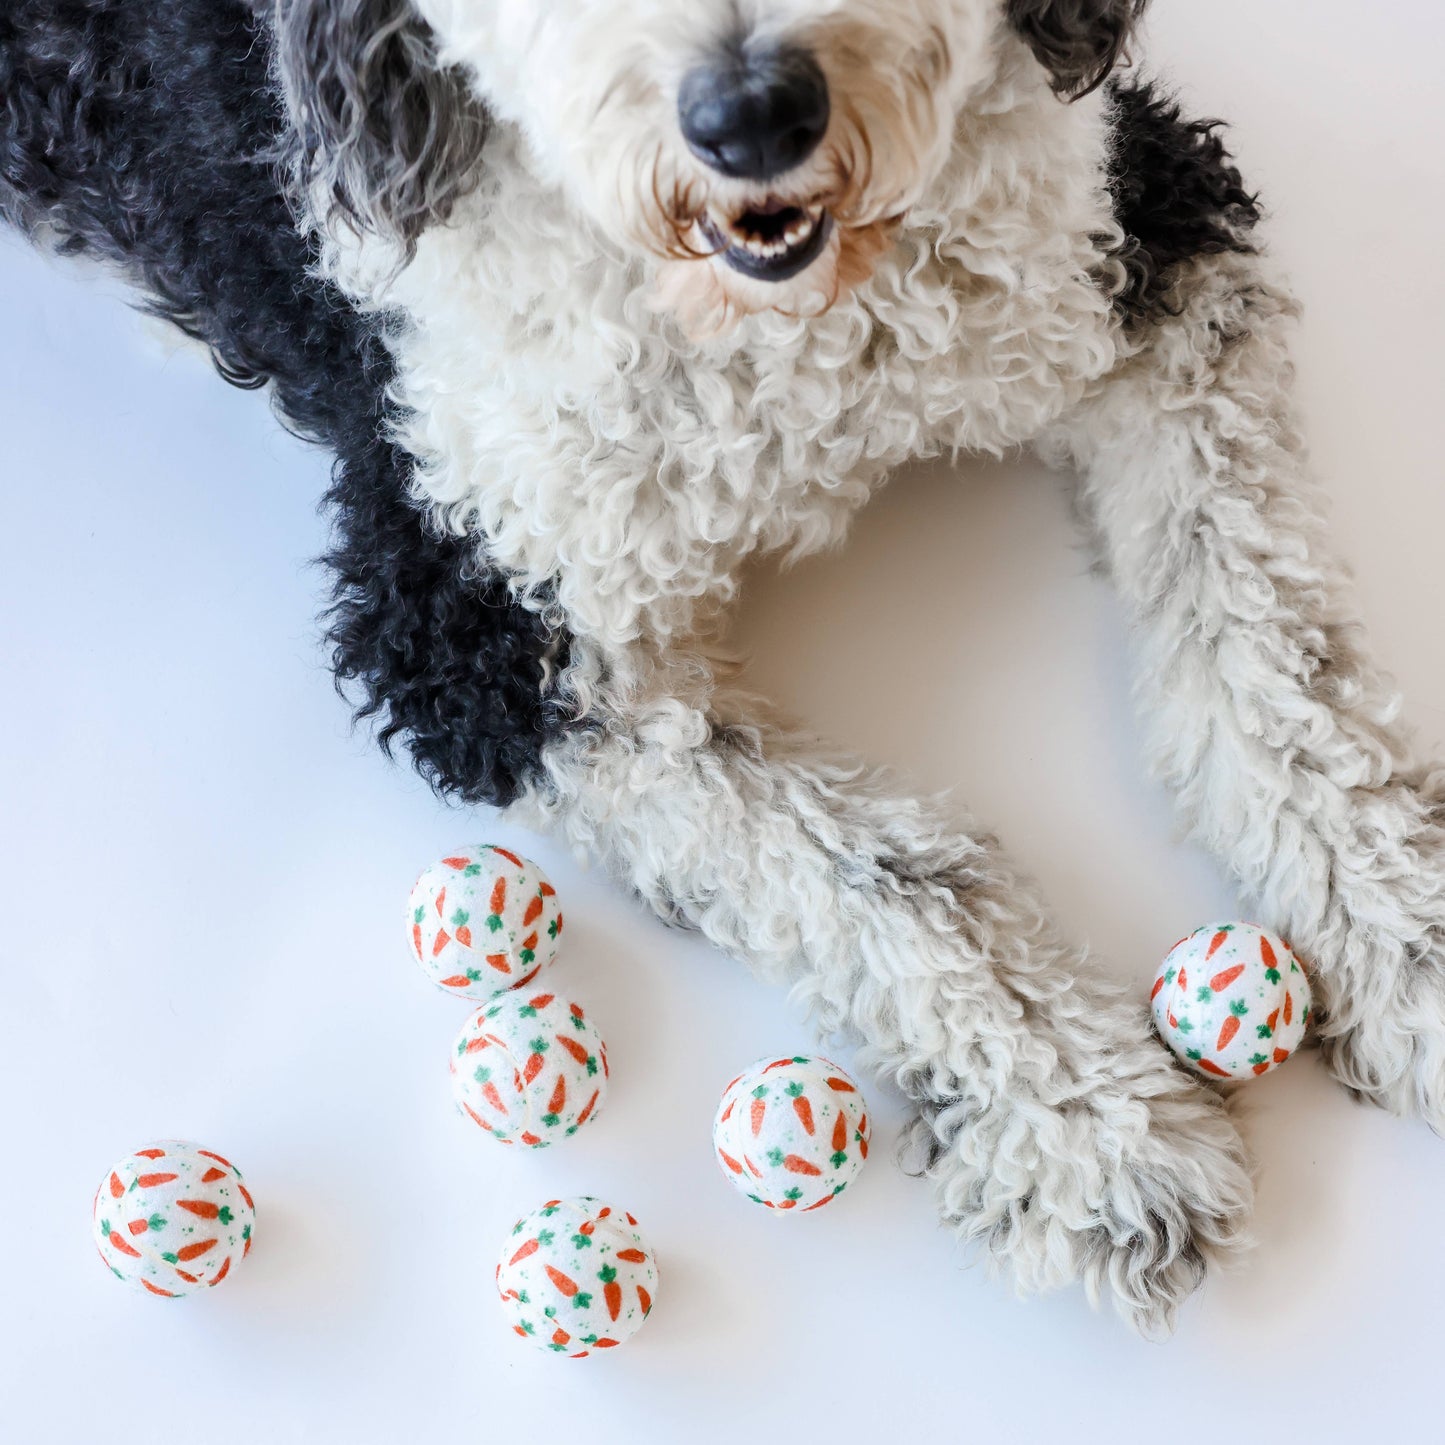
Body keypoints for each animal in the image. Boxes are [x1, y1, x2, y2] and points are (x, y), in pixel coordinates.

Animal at [0, 0, 1439, 1335]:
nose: (754, 117)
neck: (796, 319)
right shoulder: (479, 626)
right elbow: (871, 876)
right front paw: (1087, 1123)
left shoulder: (1134, 237)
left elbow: (1265, 638)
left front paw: (1403, 932)